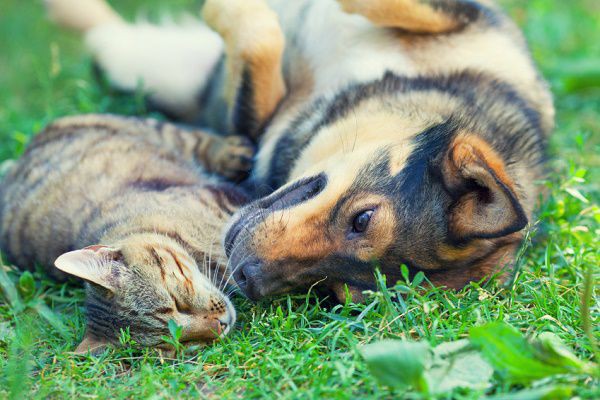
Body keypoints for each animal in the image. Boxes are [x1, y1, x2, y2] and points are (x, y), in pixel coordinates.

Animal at [45, 0, 552, 300]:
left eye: (332, 292)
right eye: (363, 219)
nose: (245, 277)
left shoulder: (255, 127)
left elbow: (258, 41)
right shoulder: (475, 21)